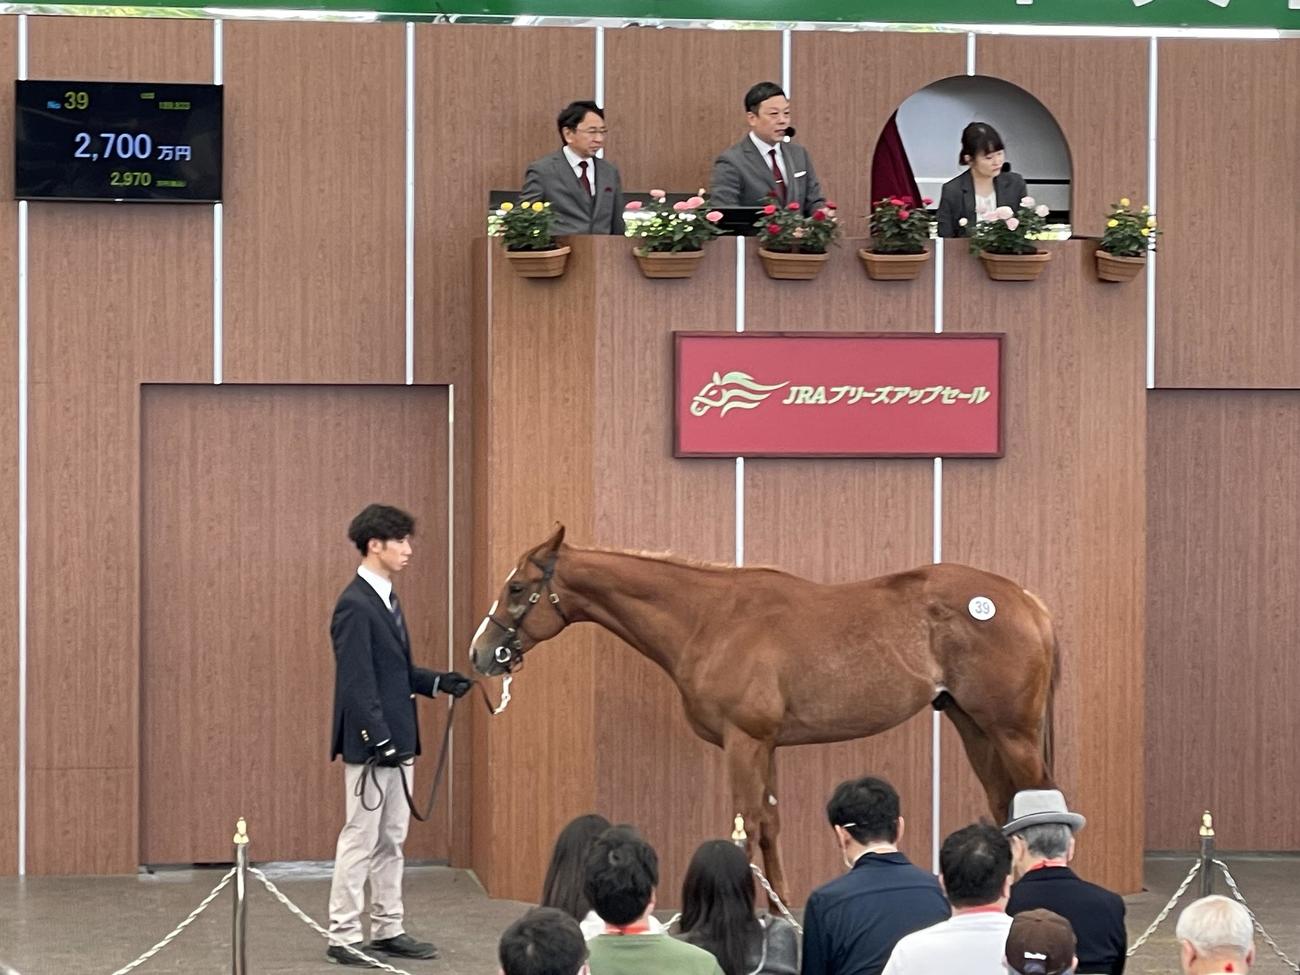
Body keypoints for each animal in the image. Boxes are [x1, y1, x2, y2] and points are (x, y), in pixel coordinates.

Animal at [469, 525, 1058, 902]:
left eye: (517, 587)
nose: (481, 653)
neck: (712, 619)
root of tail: (1024, 599)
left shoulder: (745, 740)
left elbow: (745, 826)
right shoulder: (767, 744)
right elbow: (770, 825)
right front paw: (780, 913)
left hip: (1011, 733)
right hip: (974, 727)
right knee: (1005, 803)